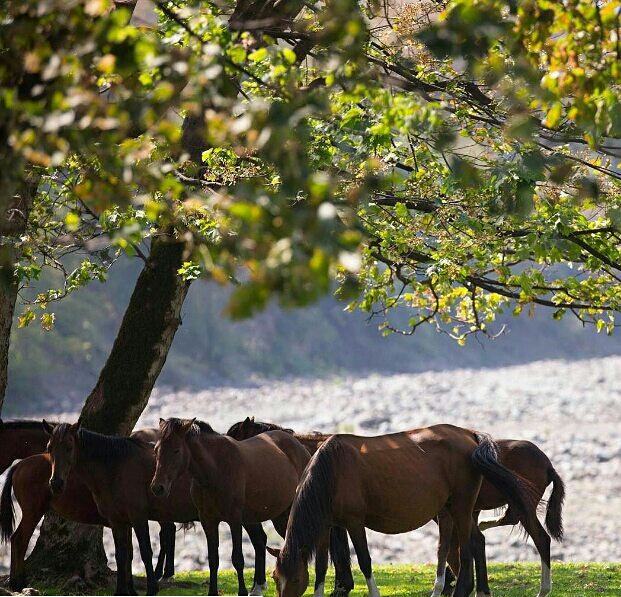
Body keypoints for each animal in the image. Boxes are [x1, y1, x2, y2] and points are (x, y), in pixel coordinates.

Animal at [44, 422, 196, 592]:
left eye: (69, 447)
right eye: (49, 448)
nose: (56, 483)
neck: (115, 468)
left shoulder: (138, 517)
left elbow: (145, 552)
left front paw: (151, 588)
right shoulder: (118, 521)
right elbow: (122, 555)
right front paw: (122, 590)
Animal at [148, 416, 312, 592]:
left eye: (176, 450)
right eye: (156, 450)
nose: (158, 487)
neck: (215, 470)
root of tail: (300, 447)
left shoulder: (235, 520)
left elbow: (238, 558)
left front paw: (243, 591)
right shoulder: (208, 520)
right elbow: (213, 559)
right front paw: (213, 593)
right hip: (280, 516)